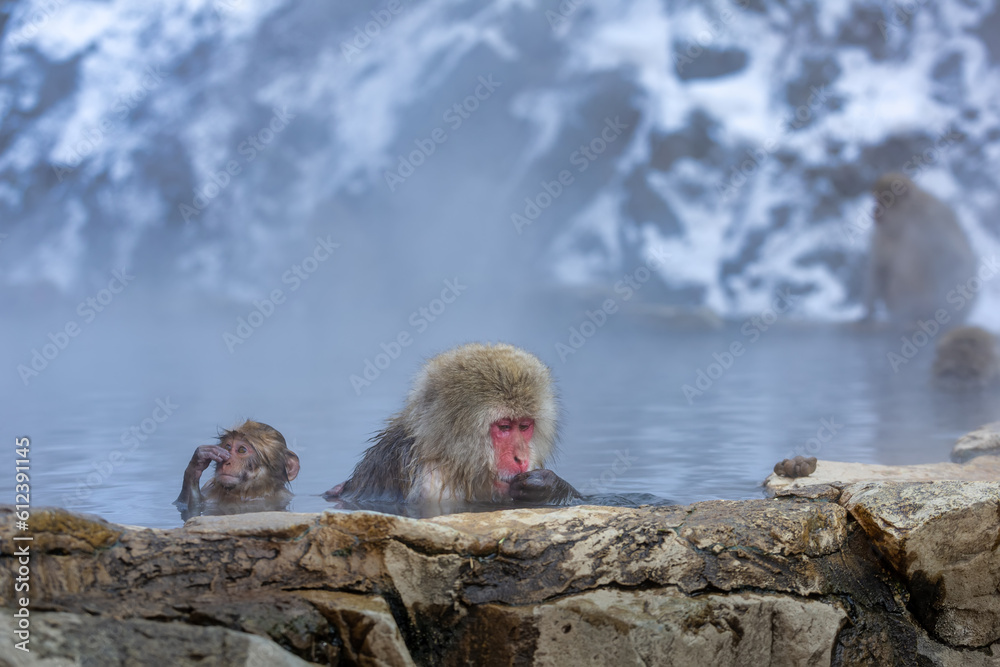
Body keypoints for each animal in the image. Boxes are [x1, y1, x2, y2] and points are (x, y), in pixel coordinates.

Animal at [325, 342, 580, 505]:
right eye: (504, 427)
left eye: (524, 426)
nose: (521, 458)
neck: (454, 462)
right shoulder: (432, 485)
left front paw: (547, 485)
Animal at [862, 173, 977, 325]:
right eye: (876, 200)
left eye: (884, 200)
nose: (875, 210)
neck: (907, 218)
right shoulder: (883, 234)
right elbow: (880, 266)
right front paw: (868, 313)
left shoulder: (933, 220)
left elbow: (958, 262)